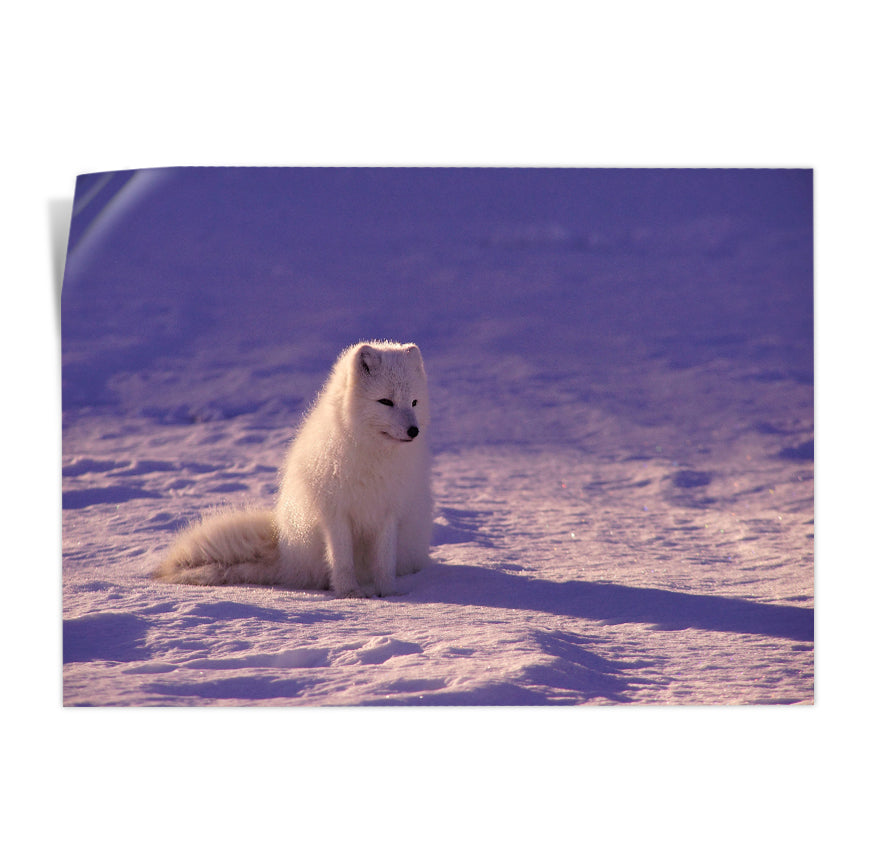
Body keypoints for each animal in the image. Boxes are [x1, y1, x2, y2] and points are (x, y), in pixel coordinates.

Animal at [153, 340, 432, 598]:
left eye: (414, 402)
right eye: (385, 401)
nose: (414, 431)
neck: (374, 456)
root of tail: (285, 553)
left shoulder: (389, 512)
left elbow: (384, 562)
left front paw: (388, 593)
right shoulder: (335, 513)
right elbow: (342, 560)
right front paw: (349, 593)